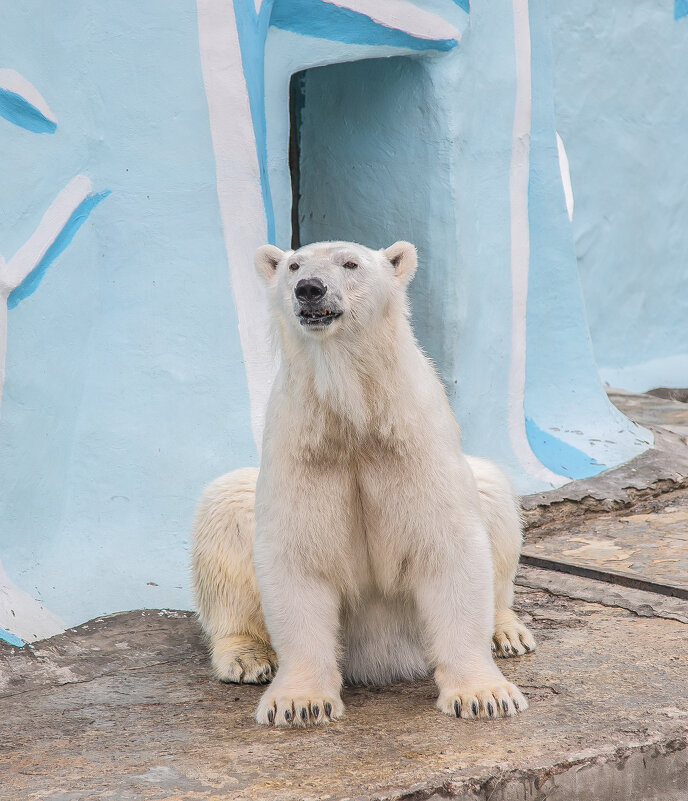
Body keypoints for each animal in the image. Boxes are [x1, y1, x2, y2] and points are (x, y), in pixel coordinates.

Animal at [189, 238, 536, 724]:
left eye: (350, 263)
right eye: (294, 265)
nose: (309, 288)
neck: (353, 413)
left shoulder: (411, 442)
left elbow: (449, 546)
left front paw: (485, 695)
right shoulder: (303, 446)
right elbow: (298, 556)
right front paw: (300, 702)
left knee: (494, 497)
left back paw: (507, 633)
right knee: (224, 507)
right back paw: (247, 657)